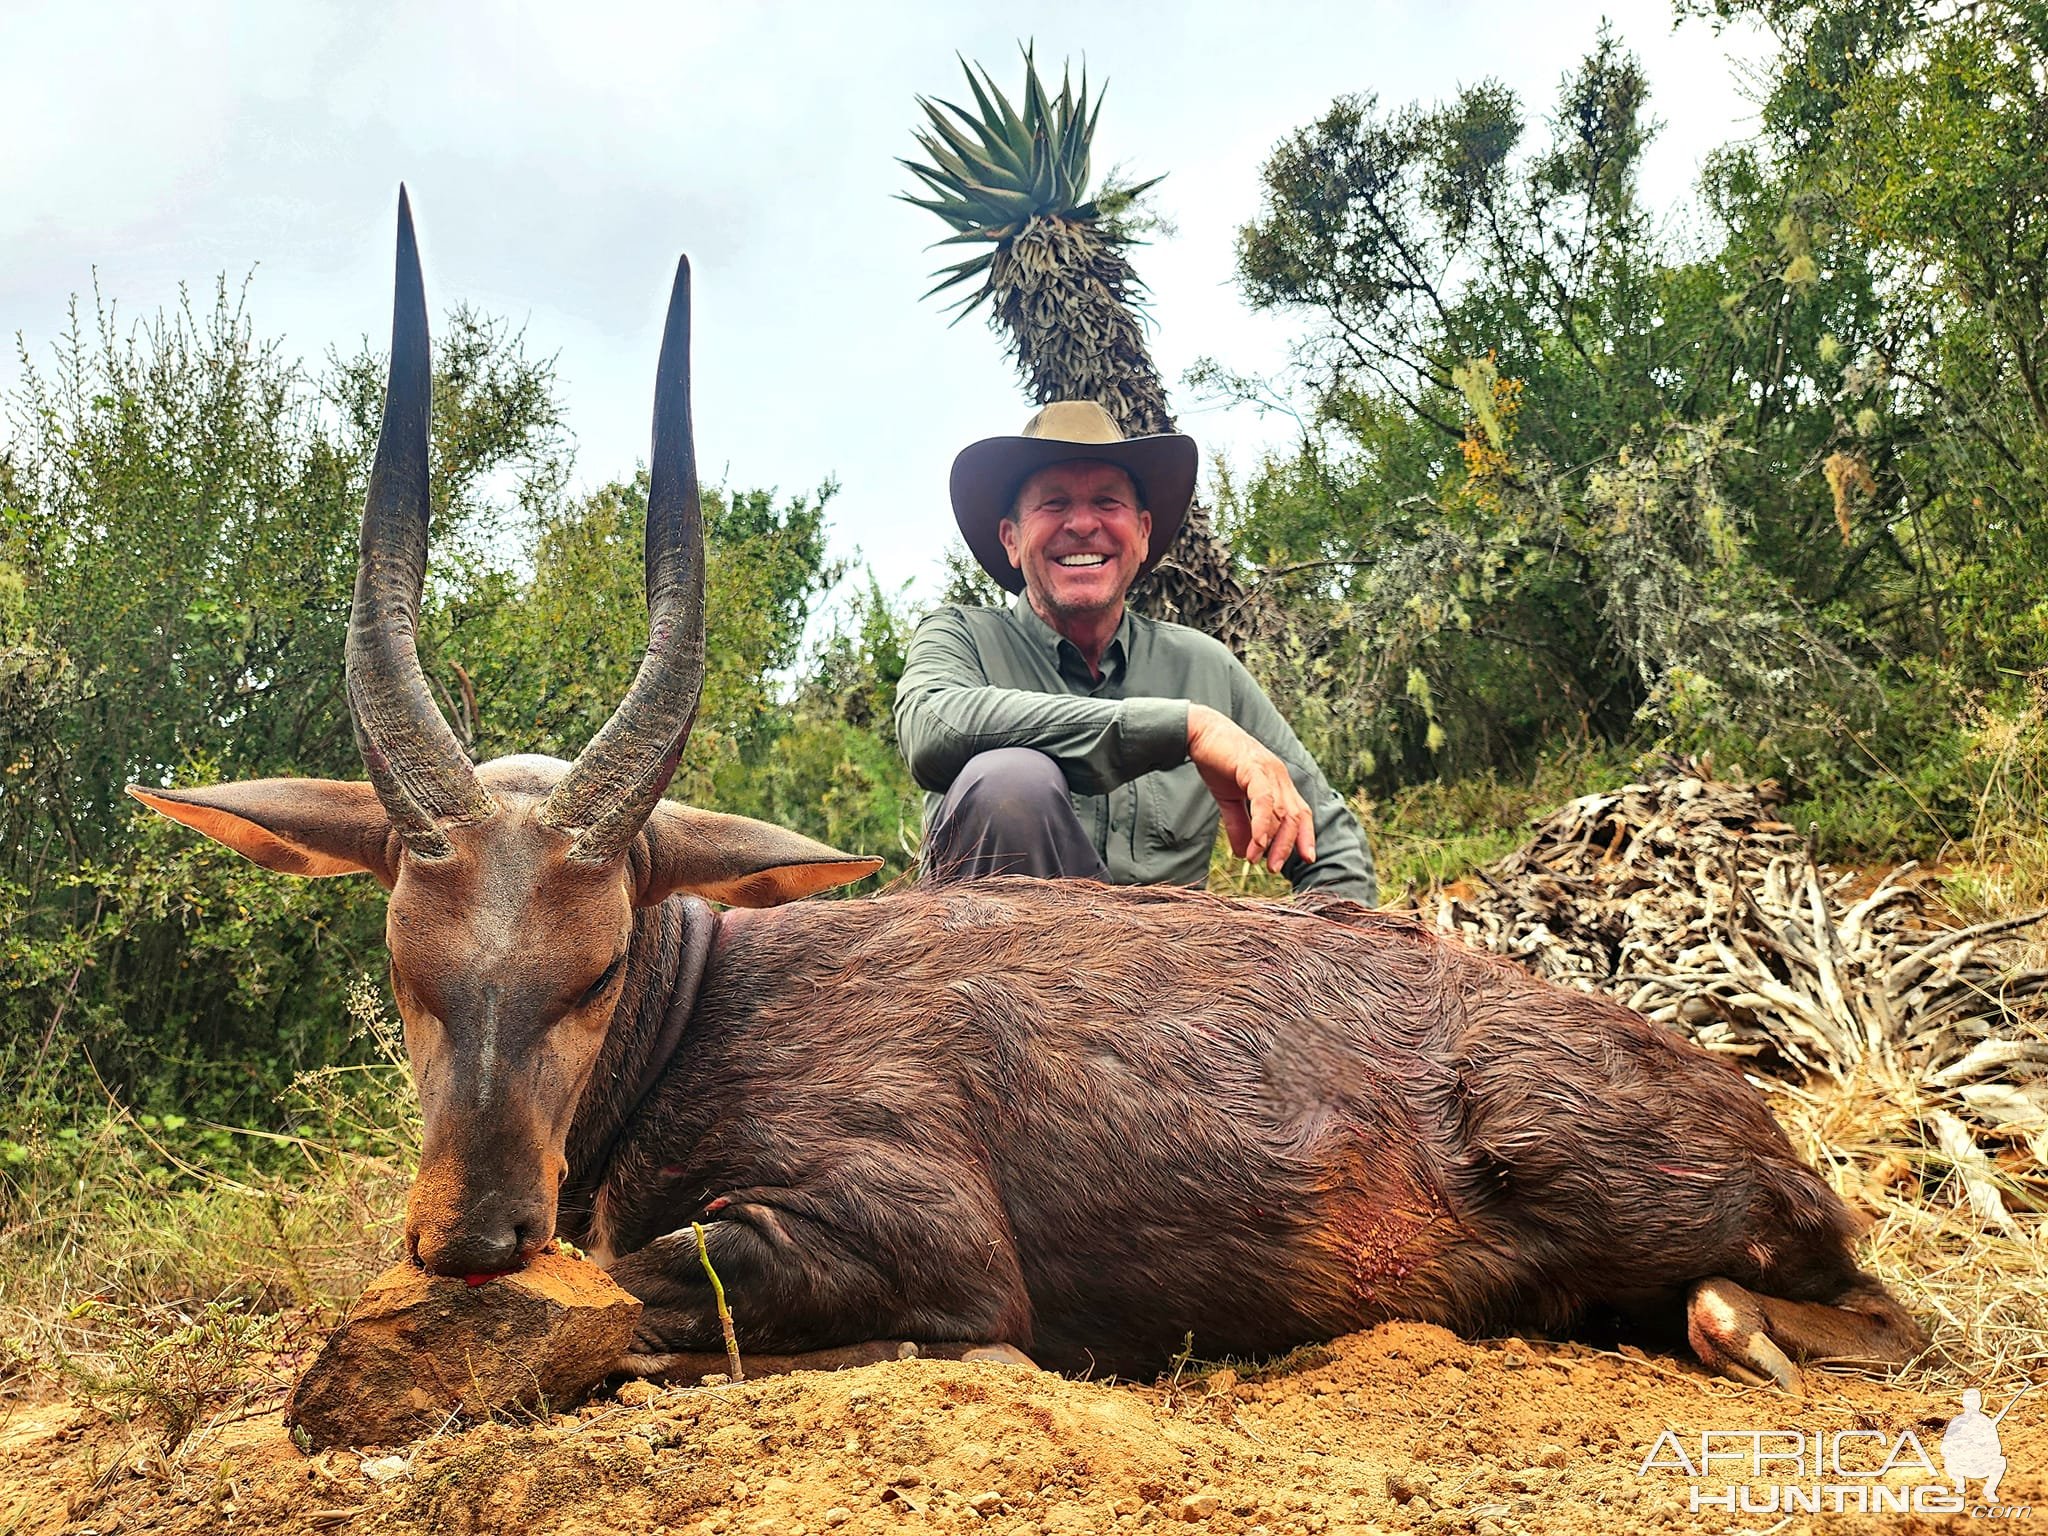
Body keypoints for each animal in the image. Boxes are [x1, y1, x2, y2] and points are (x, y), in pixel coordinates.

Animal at [136, 192, 1925, 1392]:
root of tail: (1750, 1113)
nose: (473, 1233)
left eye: (596, 967)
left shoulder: (917, 1246)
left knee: (1869, 1303)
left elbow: (632, 1298)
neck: (705, 1007)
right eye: (406, 968)